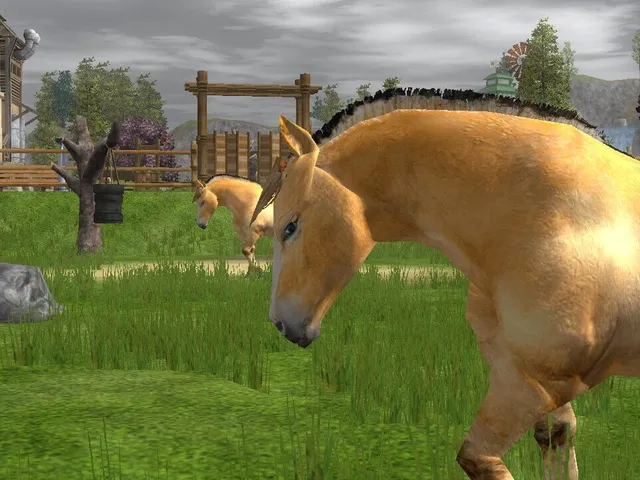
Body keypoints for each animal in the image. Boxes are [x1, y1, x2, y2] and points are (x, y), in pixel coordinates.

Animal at [250, 91, 640, 478]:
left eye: (290, 226)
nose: (282, 324)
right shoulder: (530, 376)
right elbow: (555, 437)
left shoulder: (534, 385)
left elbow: (476, 457)